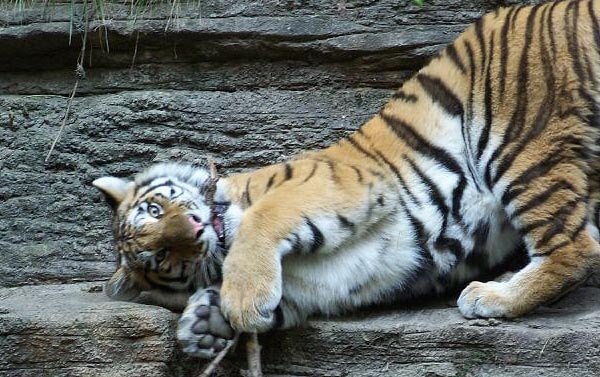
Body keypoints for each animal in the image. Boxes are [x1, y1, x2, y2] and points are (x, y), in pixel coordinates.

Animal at [92, 0, 600, 358]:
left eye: (156, 208)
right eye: (160, 256)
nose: (195, 229)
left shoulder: (337, 184)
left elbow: (264, 219)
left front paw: (240, 302)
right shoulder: (314, 289)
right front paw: (200, 324)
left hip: (519, 140)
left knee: (577, 248)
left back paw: (490, 297)